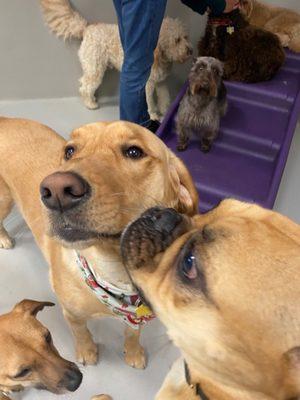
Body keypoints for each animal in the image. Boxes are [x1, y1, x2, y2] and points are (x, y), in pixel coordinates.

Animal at [0, 117, 199, 370]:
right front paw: (87, 352)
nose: (56, 190)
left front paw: (133, 352)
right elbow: (81, 333)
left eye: (134, 152)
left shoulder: (136, 317)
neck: (118, 275)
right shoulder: (71, 314)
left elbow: (132, 333)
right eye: (70, 151)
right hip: (4, 201)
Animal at [39, 0, 192, 119]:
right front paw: (153, 116)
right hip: (95, 67)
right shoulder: (147, 84)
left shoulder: (161, 82)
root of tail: (87, 28)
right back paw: (90, 103)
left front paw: (165, 112)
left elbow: (164, 98)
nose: (190, 51)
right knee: (85, 86)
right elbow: (149, 102)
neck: (160, 57)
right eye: (176, 40)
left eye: (185, 37)